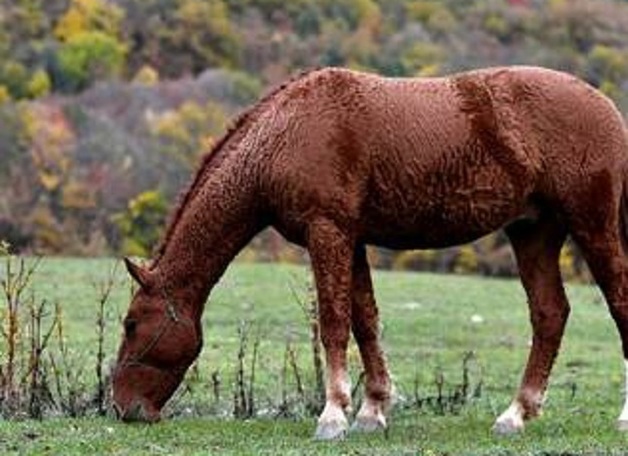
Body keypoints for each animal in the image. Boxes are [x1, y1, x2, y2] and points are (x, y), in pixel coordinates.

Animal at [111, 64, 628, 438]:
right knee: (549, 314)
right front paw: (371, 411)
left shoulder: (328, 233)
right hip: (534, 231)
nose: (123, 408)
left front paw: (333, 416)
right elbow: (364, 321)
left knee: (617, 305)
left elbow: (334, 322)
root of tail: (608, 108)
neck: (284, 133)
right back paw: (515, 414)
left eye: (132, 324)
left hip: (593, 227)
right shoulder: (351, 239)